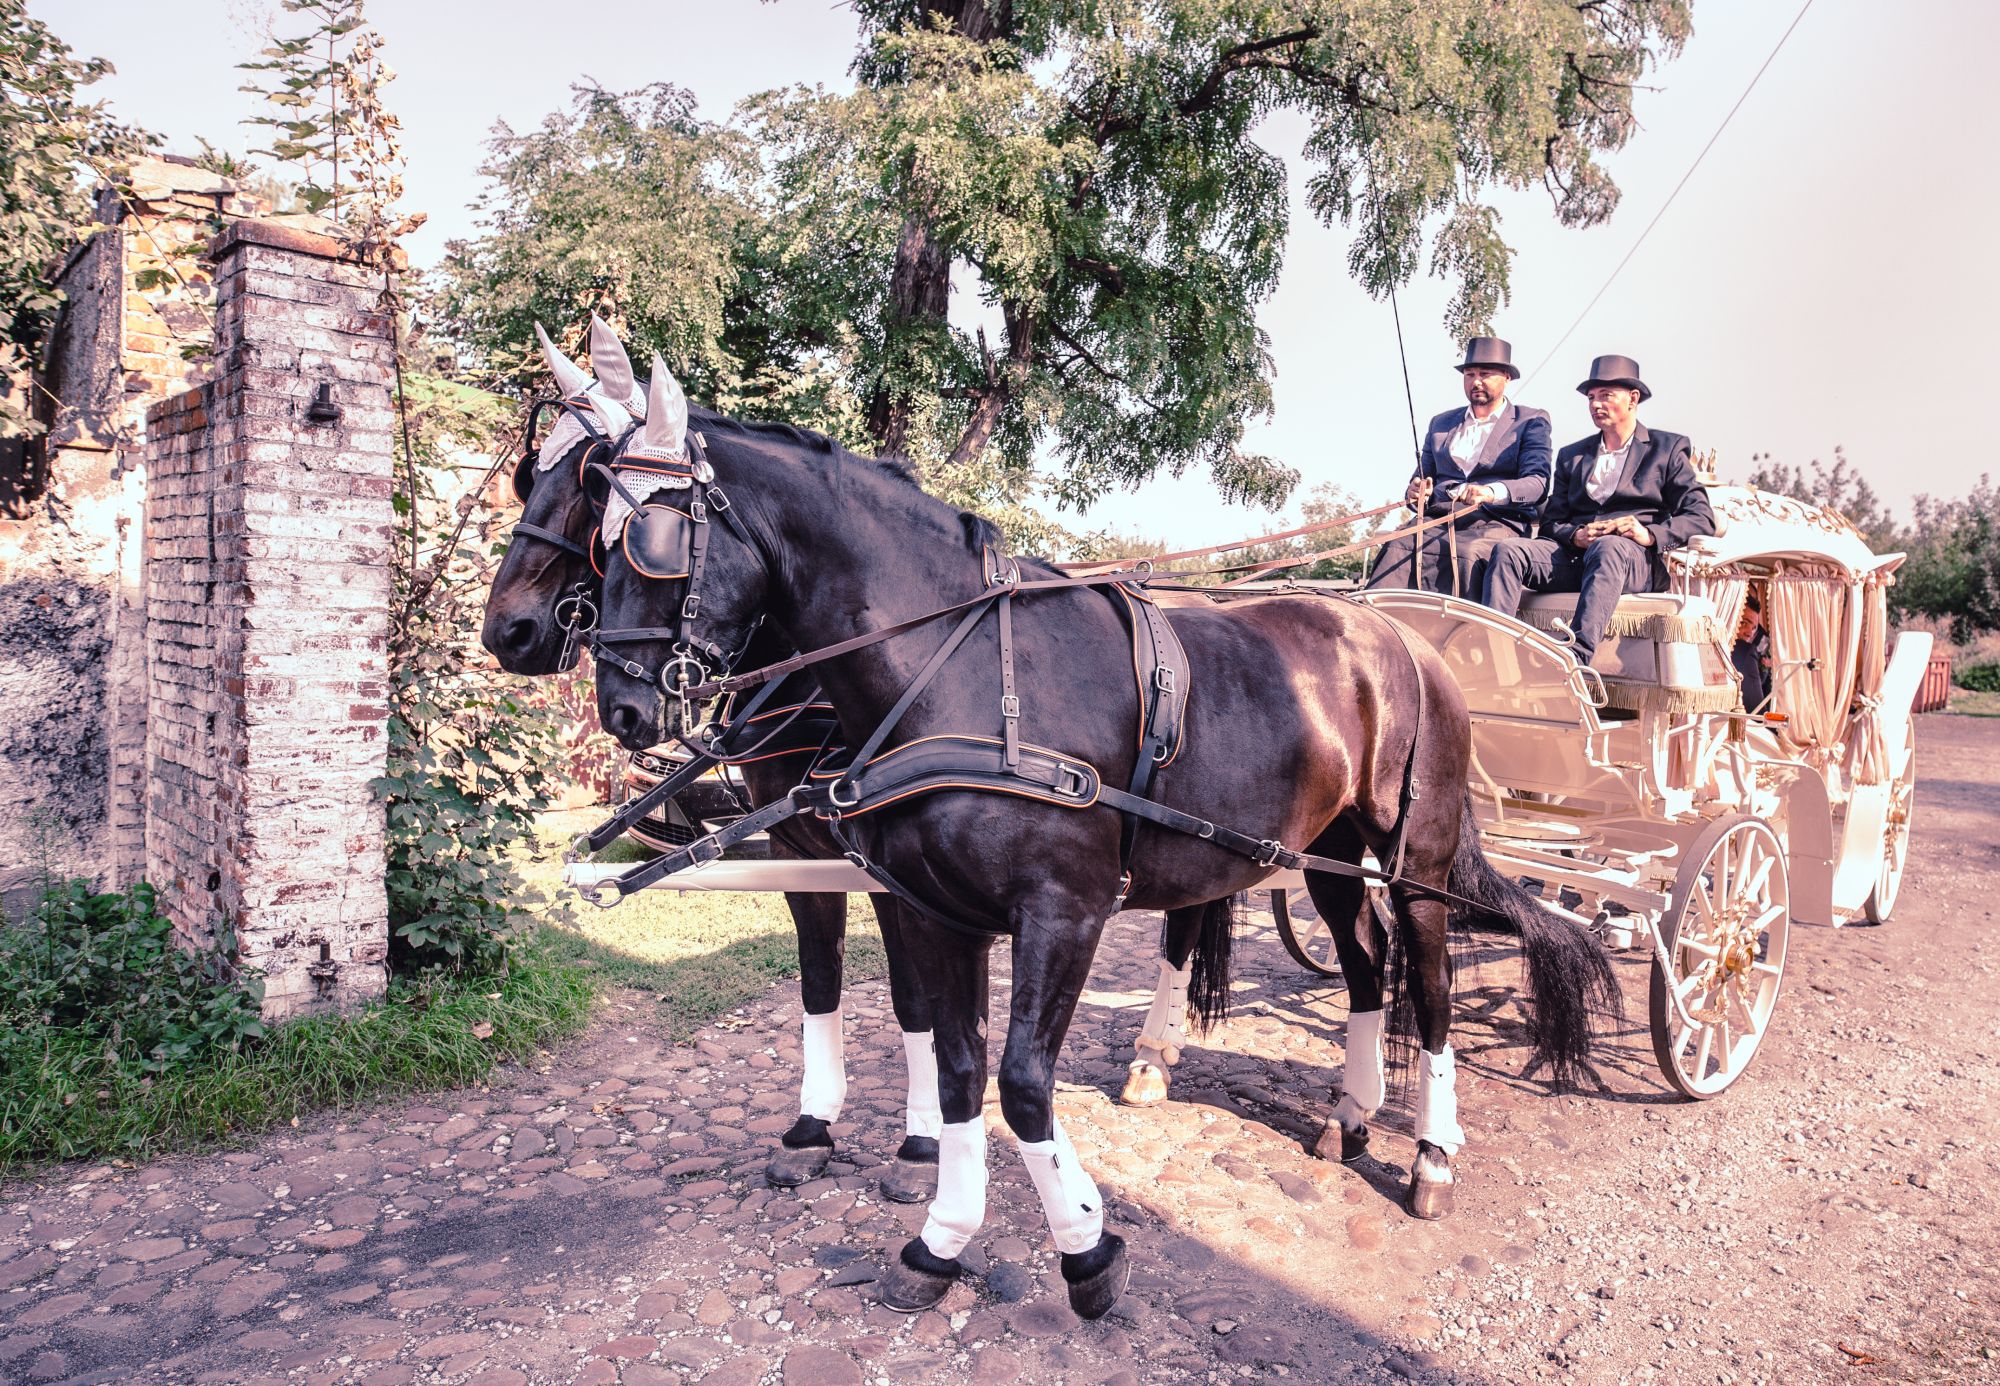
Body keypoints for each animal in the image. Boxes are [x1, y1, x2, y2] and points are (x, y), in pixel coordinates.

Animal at [584, 362, 1616, 1312]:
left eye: (650, 539)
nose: (620, 708)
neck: (959, 669)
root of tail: (1404, 640)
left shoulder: (1064, 912)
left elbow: (1022, 1083)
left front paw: (1085, 1245)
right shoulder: (935, 912)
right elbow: (960, 1074)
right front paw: (945, 1235)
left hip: (1416, 859)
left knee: (1429, 988)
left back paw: (1432, 1155)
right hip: (1324, 853)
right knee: (1365, 969)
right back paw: (1350, 1117)